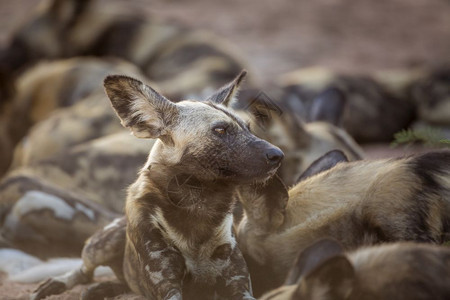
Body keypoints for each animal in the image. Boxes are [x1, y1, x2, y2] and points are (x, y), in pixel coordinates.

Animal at [30, 71, 282, 300]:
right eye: (220, 130)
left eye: (248, 127)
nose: (277, 155)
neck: (197, 205)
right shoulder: (167, 283)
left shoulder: (237, 282)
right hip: (102, 245)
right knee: (84, 271)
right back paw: (58, 284)